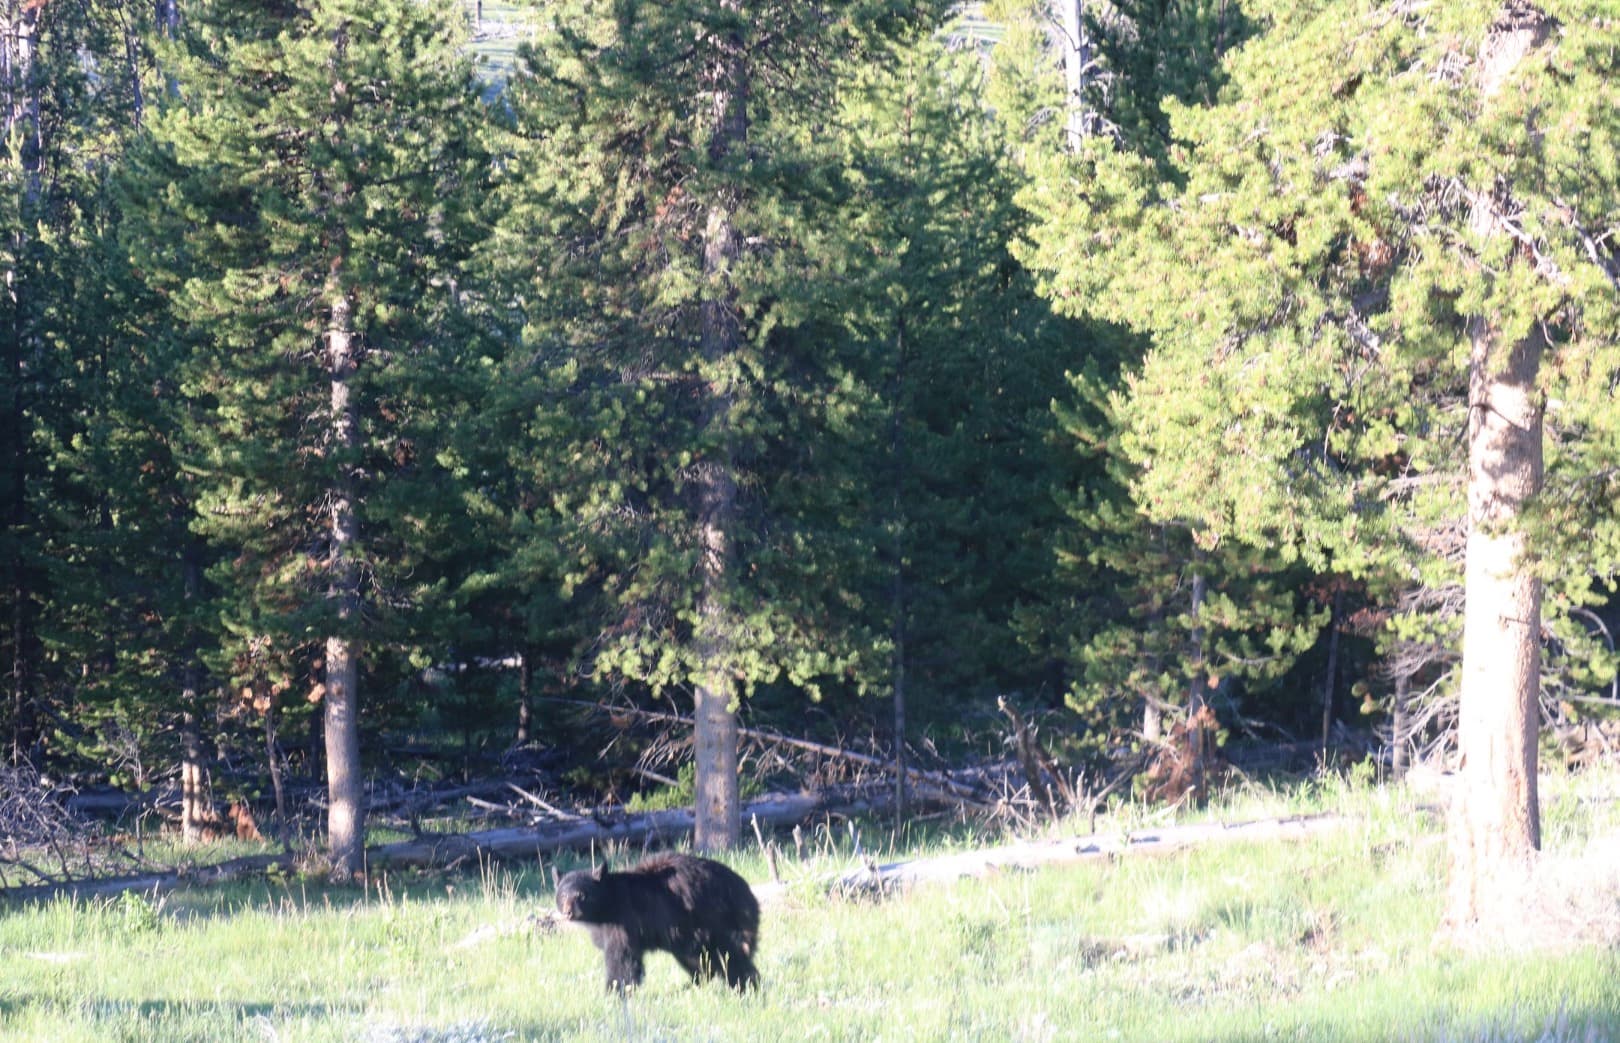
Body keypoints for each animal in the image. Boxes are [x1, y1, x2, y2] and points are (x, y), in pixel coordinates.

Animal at [554, 852, 760, 992]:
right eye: (563, 895)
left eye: (581, 895)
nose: (569, 912)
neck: (607, 904)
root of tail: (746, 892)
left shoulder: (623, 922)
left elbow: (622, 958)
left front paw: (614, 991)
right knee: (701, 960)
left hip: (716, 921)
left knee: (729, 957)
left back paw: (746, 985)